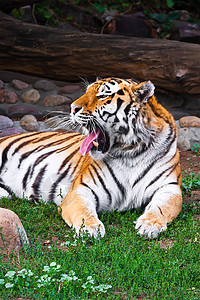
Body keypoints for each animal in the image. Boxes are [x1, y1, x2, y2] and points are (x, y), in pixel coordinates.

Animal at [0, 77, 183, 239]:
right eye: (86, 92)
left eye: (102, 96)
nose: (72, 108)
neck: (131, 152)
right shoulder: (81, 189)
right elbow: (84, 210)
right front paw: (89, 228)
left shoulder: (170, 188)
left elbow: (160, 208)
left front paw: (150, 225)